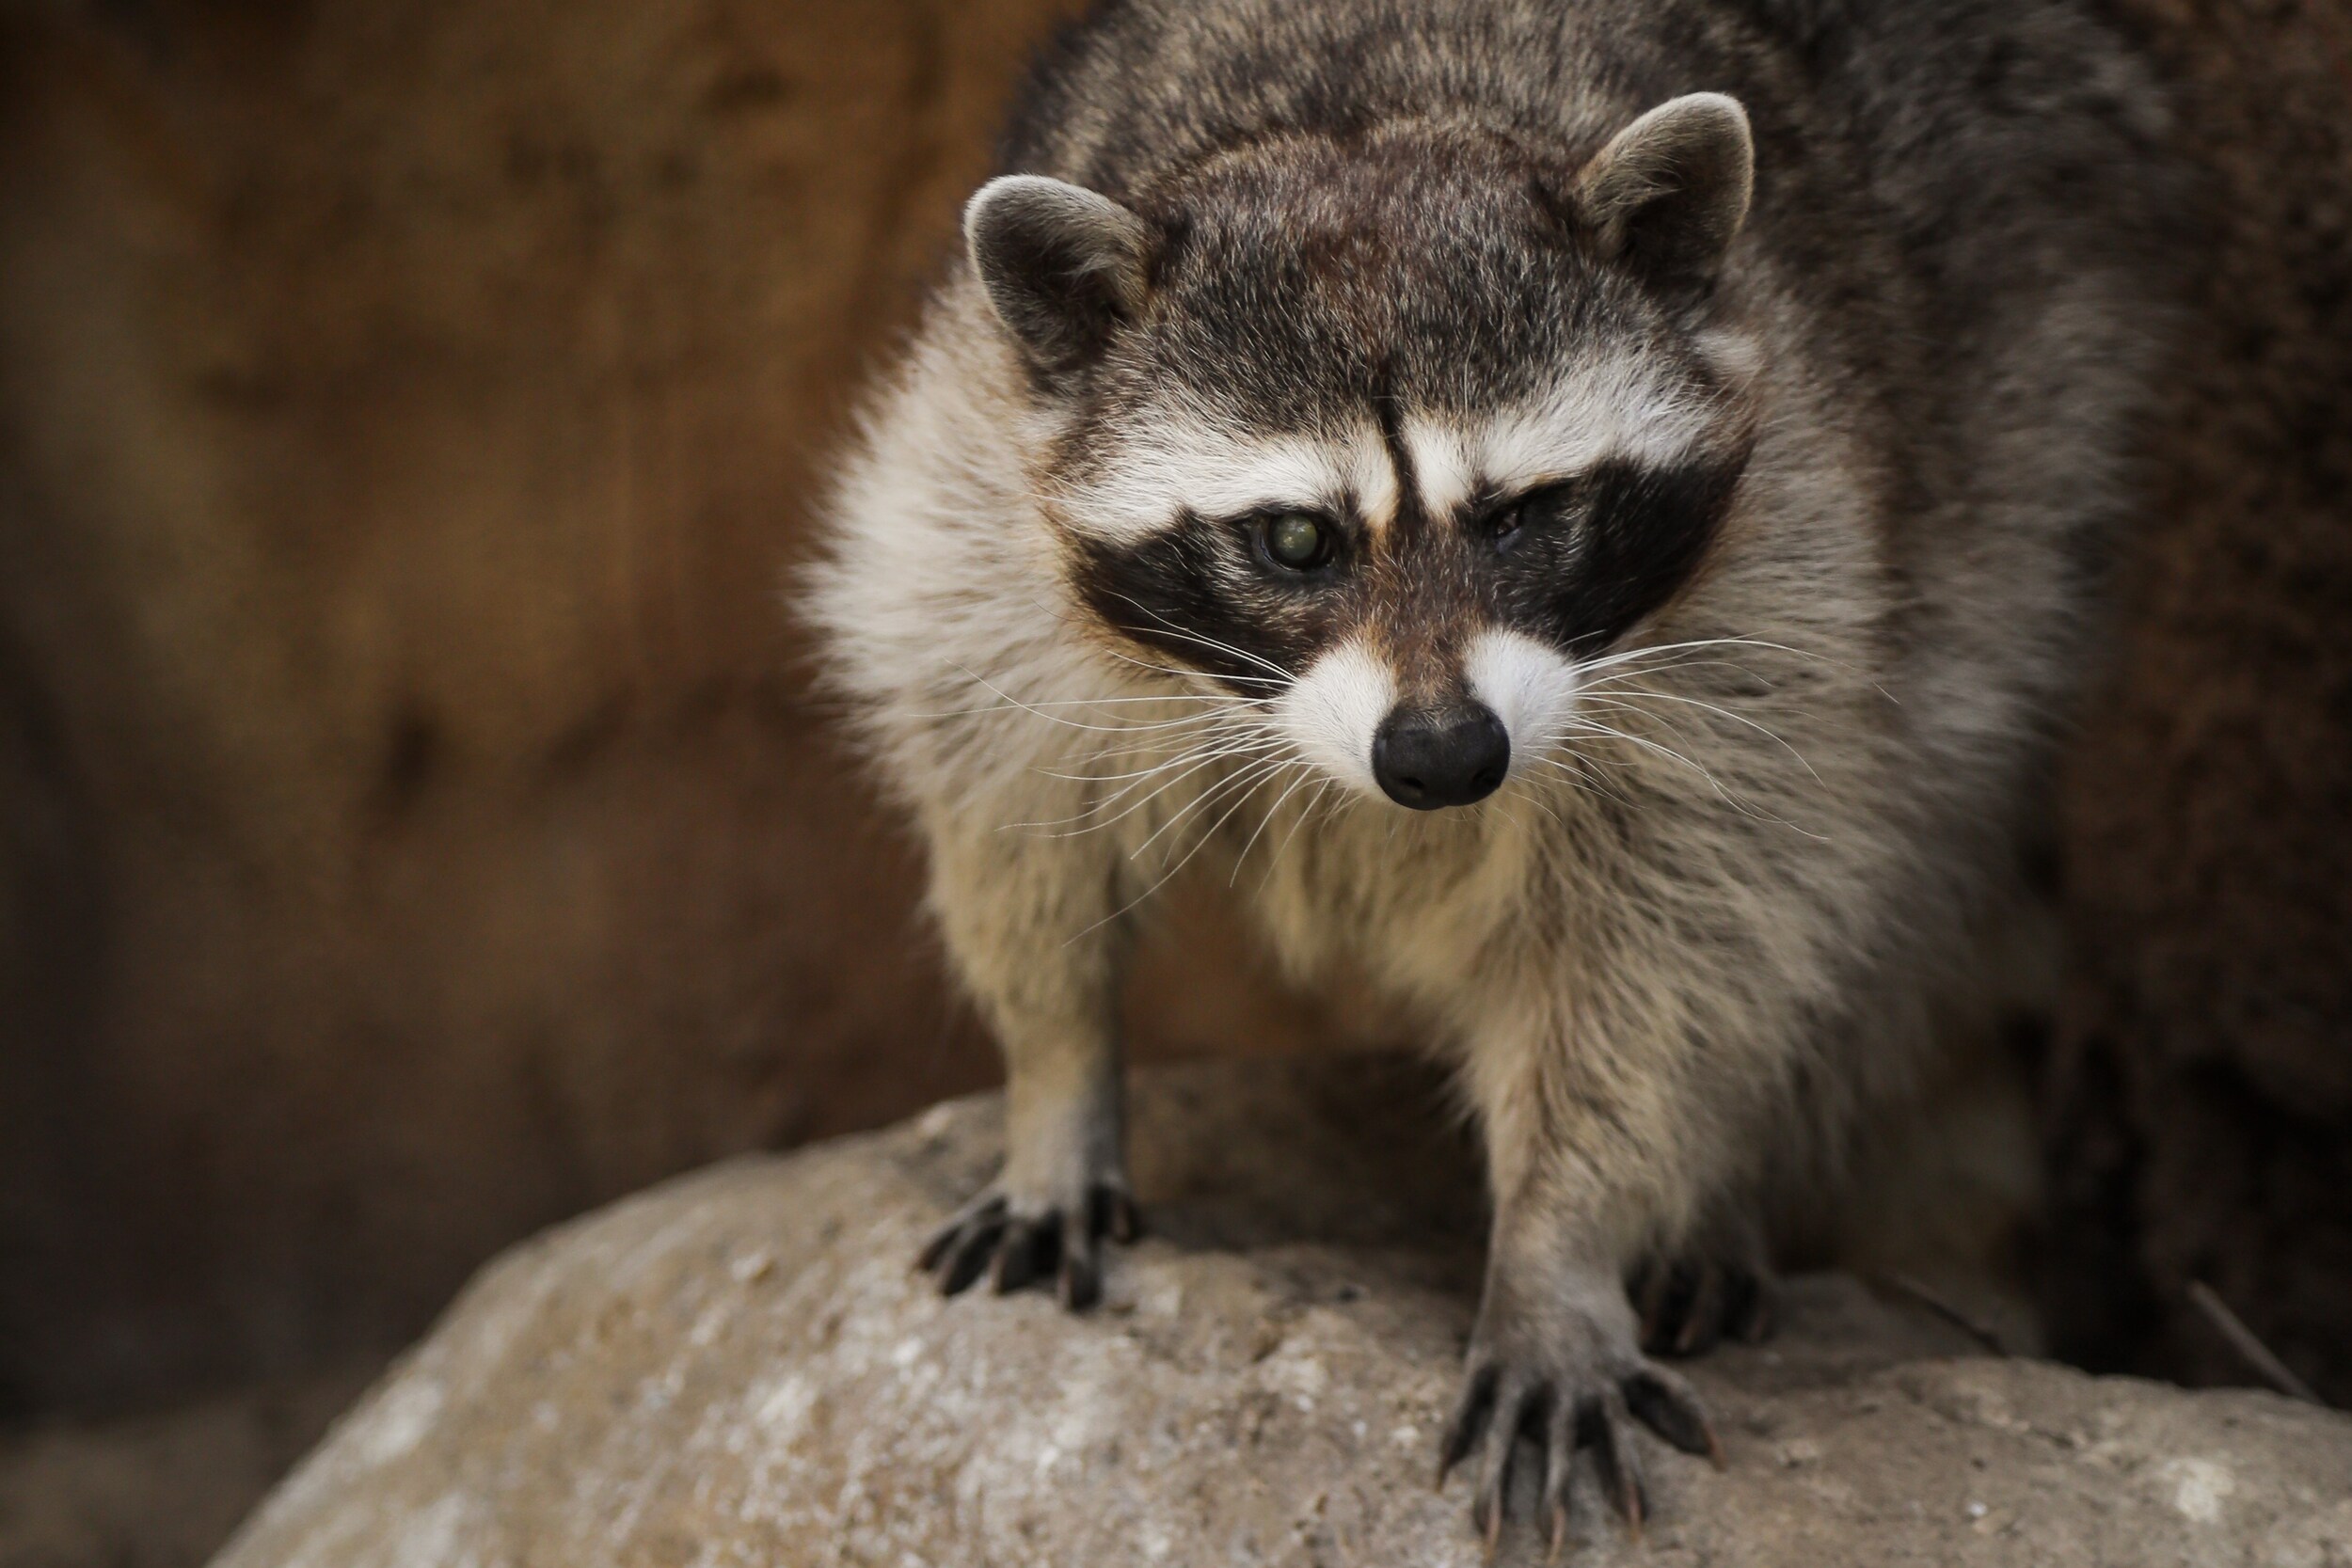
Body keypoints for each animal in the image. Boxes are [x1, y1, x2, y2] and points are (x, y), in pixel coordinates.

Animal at [808, 0, 2172, 1547]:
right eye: (1295, 540)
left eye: (1526, 515)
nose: (1443, 752)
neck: (1363, 116)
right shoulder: (974, 498)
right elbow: (1010, 794)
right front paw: (1055, 1076)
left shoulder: (1781, 580)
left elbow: (1675, 942)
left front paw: (1560, 1243)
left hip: (2033, 421)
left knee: (1907, 820)